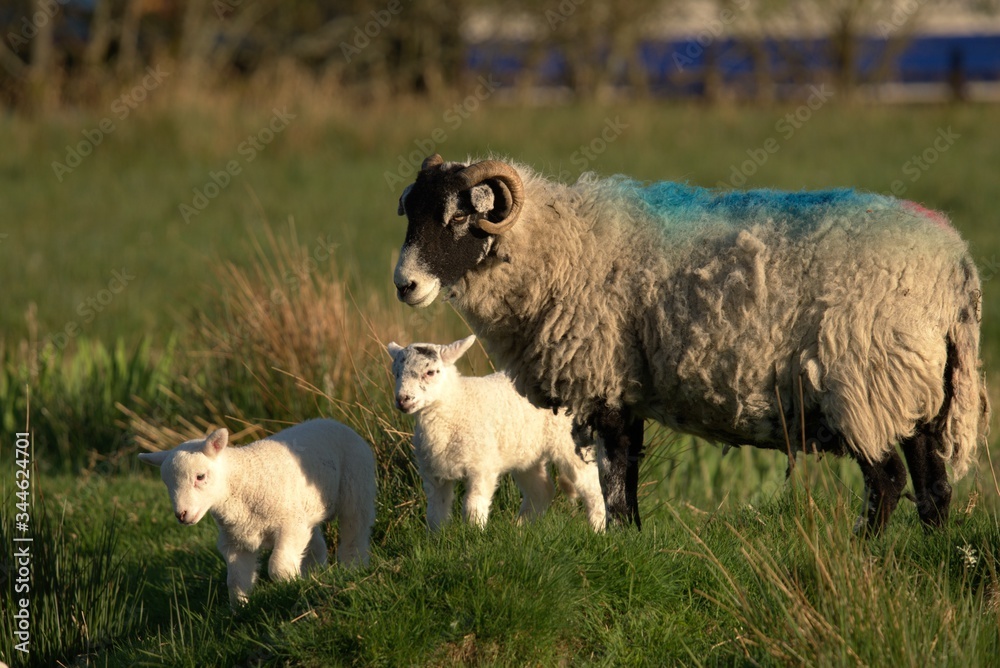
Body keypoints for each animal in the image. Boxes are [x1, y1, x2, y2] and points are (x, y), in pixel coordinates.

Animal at [138, 418, 376, 606]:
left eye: (200, 476)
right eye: (166, 483)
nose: (182, 514)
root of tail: (331, 421)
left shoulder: (289, 524)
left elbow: (278, 566)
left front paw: (291, 588)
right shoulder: (236, 541)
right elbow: (236, 581)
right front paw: (241, 611)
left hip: (357, 486)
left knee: (355, 534)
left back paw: (353, 569)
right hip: (305, 508)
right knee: (316, 545)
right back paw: (314, 575)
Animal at [387, 335, 607, 532]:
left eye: (431, 372)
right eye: (395, 373)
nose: (402, 400)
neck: (456, 405)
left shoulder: (481, 466)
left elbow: (473, 506)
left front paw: (474, 536)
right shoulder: (434, 474)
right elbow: (435, 513)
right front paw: (436, 540)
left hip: (569, 443)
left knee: (592, 488)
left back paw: (597, 530)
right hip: (526, 451)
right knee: (541, 490)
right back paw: (520, 529)